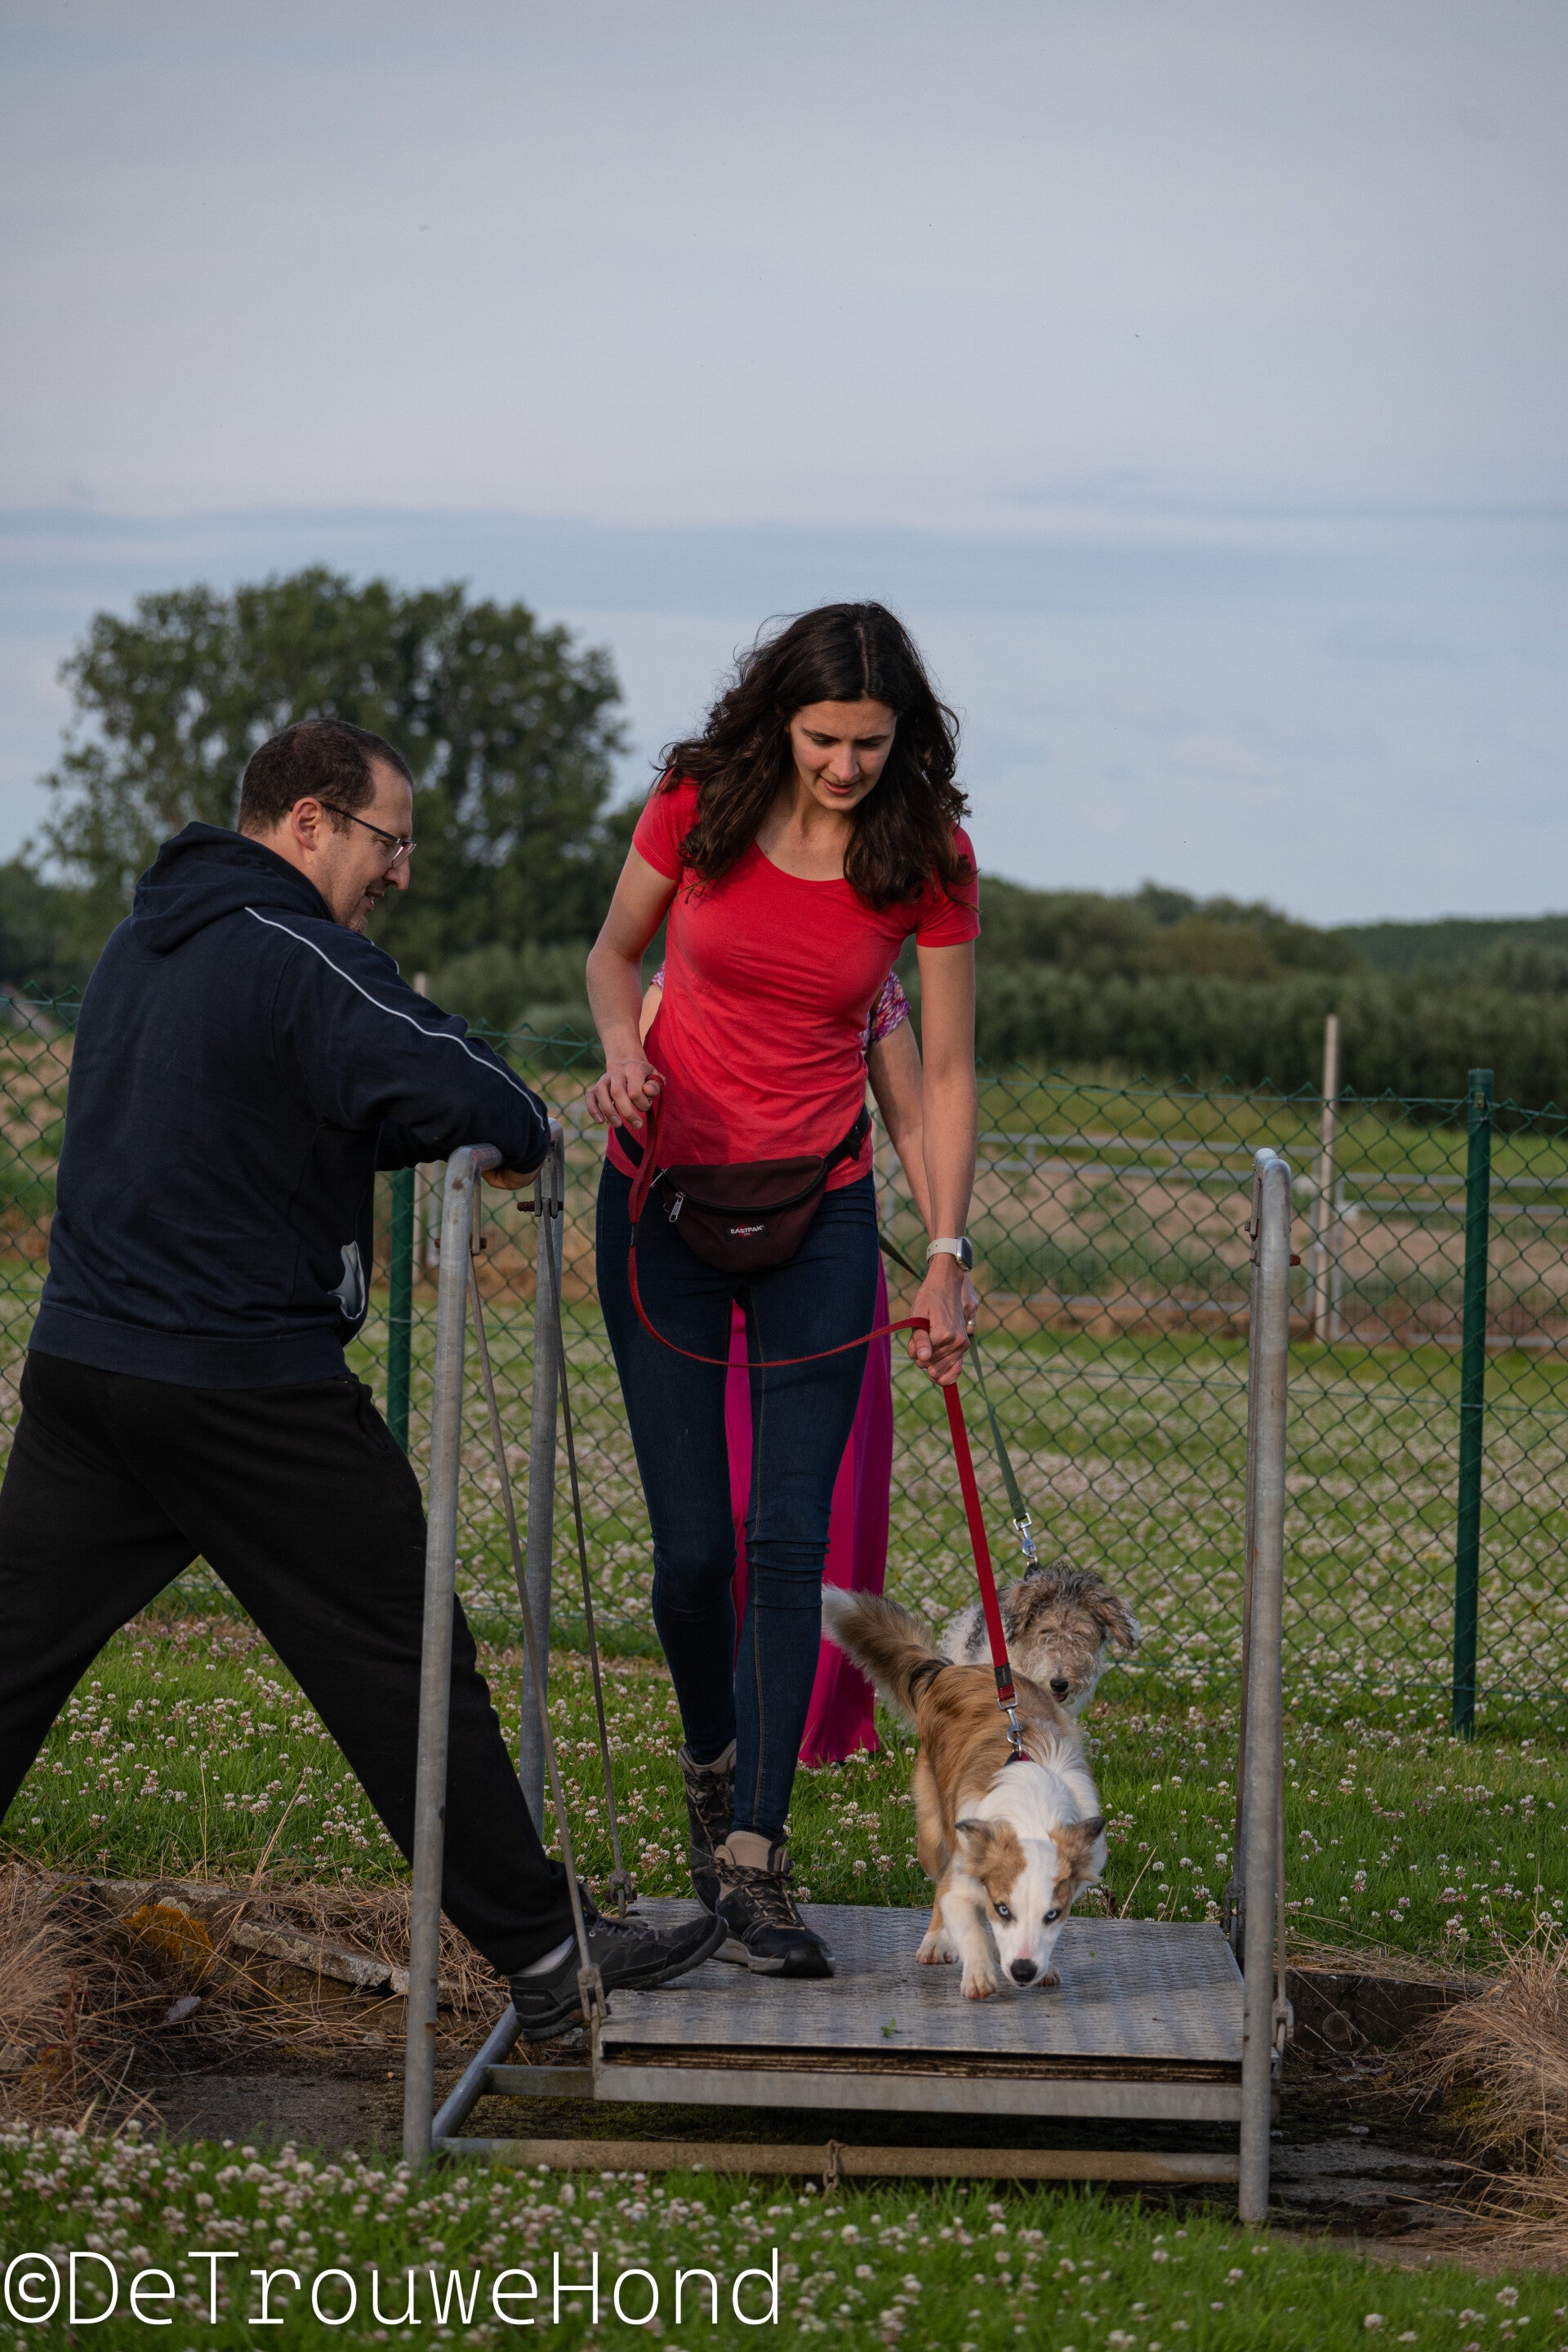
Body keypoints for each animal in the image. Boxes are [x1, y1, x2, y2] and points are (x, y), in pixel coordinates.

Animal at [821, 1588, 1107, 2001]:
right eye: (1003, 1909)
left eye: (1052, 1914)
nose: (1023, 1971)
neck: (1033, 1811)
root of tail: (952, 1669)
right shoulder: (961, 1871)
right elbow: (965, 1919)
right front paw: (978, 1972)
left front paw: (1044, 1964)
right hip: (932, 1832)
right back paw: (937, 1942)